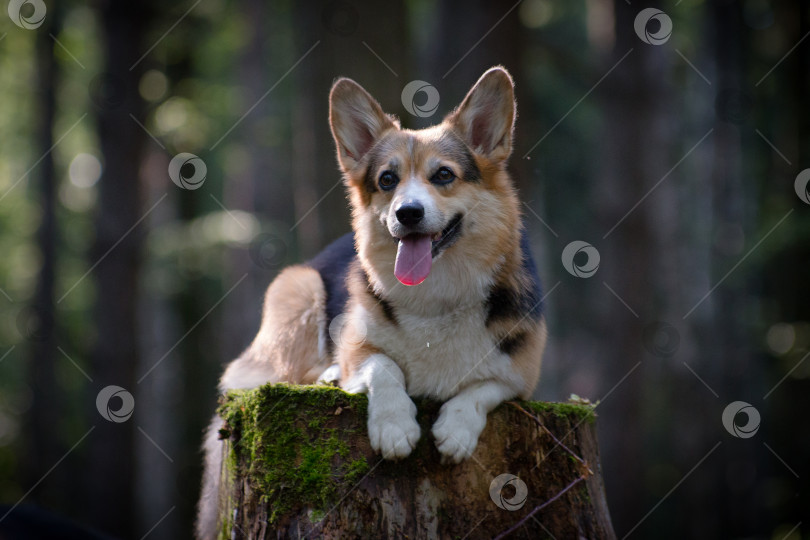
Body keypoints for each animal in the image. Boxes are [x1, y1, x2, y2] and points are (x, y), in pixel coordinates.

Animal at [196, 65, 548, 536]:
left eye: (444, 175)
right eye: (387, 180)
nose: (407, 213)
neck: (436, 296)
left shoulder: (519, 380)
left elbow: (481, 388)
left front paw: (456, 429)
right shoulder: (357, 345)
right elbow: (382, 366)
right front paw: (395, 425)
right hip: (298, 291)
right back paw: (329, 376)